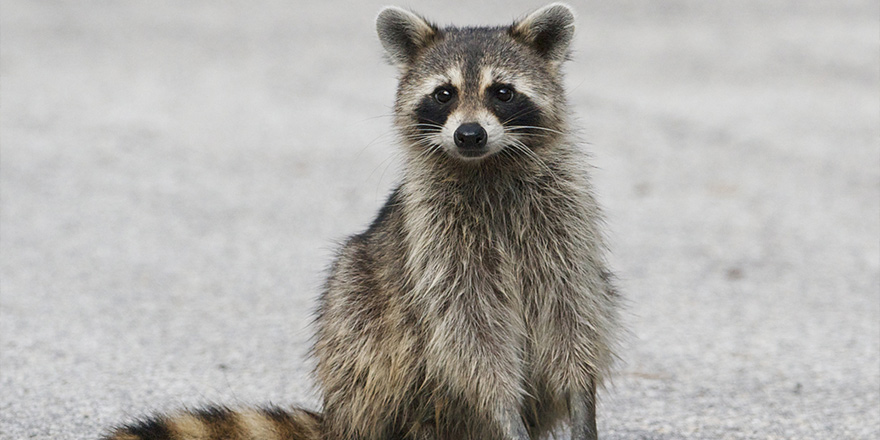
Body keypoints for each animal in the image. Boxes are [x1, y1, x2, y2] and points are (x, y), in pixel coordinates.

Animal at [103, 4, 624, 440]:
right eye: (444, 94)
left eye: (502, 92)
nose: (469, 134)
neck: (486, 167)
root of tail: (341, 420)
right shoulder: (438, 246)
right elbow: (471, 337)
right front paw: (504, 412)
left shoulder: (563, 227)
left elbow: (574, 316)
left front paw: (582, 402)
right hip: (358, 323)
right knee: (361, 315)